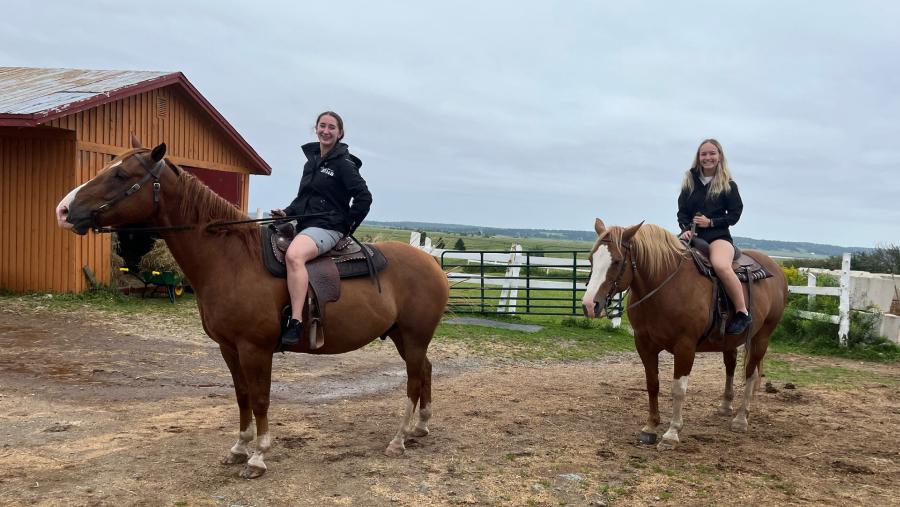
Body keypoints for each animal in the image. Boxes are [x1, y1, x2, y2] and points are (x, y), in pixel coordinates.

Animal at [56, 140, 450, 480]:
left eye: (121, 175)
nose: (63, 210)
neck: (231, 259)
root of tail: (432, 263)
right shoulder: (229, 348)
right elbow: (242, 396)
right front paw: (239, 448)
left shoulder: (255, 349)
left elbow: (260, 398)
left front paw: (259, 456)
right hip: (403, 338)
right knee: (426, 372)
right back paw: (421, 427)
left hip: (413, 338)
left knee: (414, 381)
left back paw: (399, 439)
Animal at [580, 220, 784, 450]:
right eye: (591, 259)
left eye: (616, 261)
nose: (589, 305)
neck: (666, 286)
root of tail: (774, 267)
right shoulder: (644, 343)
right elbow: (652, 384)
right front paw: (650, 427)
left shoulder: (685, 347)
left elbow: (678, 389)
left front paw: (671, 433)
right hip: (730, 342)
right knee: (731, 367)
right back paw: (726, 406)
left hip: (761, 337)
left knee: (751, 374)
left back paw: (741, 419)